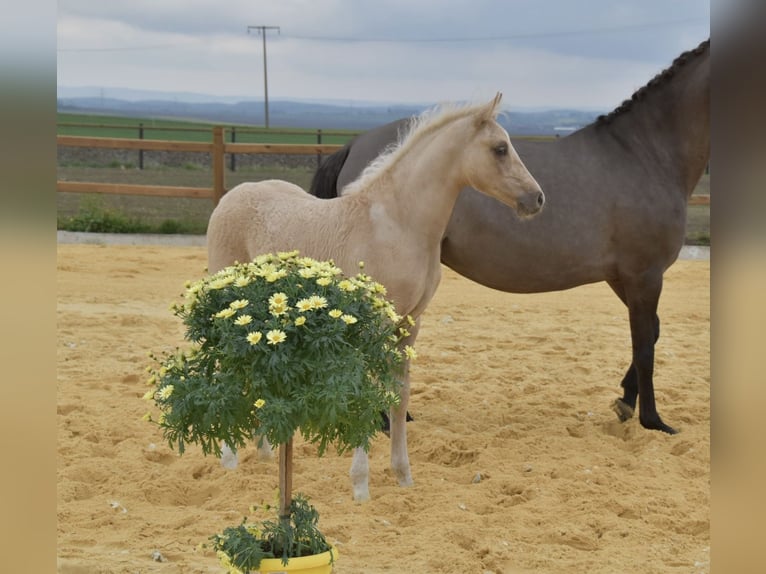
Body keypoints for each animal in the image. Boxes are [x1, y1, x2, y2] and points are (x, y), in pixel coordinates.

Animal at [208, 92, 544, 502]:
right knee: (225, 368)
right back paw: (229, 458)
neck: (399, 224)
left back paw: (265, 452)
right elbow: (367, 393)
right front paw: (360, 485)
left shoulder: (410, 324)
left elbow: (400, 396)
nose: (536, 198)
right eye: (500, 148)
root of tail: (230, 198)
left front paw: (403, 476)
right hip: (228, 305)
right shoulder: (373, 323)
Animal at [308, 40, 712, 436]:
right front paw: (654, 421)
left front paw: (626, 402)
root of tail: (354, 145)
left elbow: (651, 333)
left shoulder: (625, 277)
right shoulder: (644, 275)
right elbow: (645, 346)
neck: (644, 154)